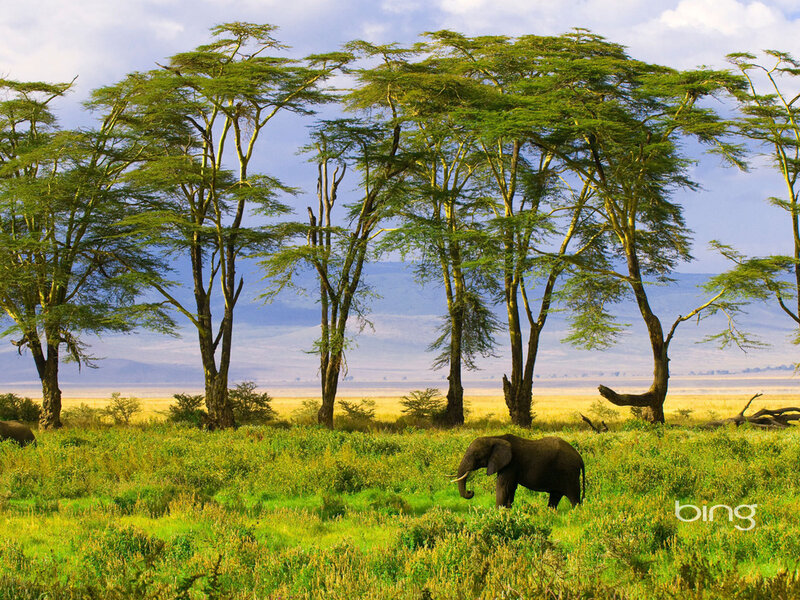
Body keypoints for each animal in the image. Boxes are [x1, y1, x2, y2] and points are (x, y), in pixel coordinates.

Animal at [452, 434, 584, 509]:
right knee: (555, 496)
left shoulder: (511, 463)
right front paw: (507, 510)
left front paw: (498, 513)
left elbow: (503, 486)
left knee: (574, 498)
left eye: (476, 455)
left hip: (570, 473)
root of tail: (579, 457)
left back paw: (576, 513)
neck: (495, 438)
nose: (470, 492)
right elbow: (511, 488)